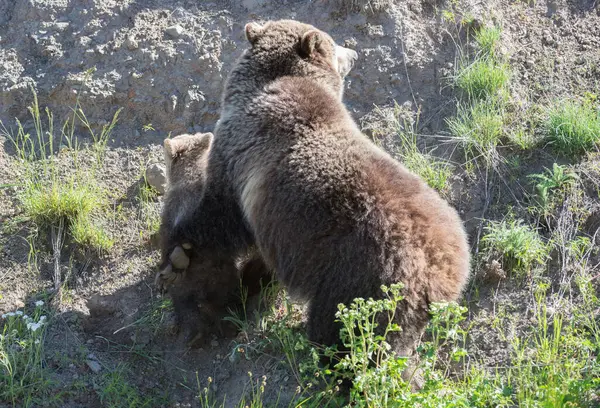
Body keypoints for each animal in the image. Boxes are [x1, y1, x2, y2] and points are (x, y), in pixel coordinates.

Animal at [157, 19, 472, 364]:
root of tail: (443, 277)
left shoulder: (240, 159)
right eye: (336, 46)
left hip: (354, 279)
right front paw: (251, 277)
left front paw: (180, 255)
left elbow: (219, 216)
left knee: (344, 336)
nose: (355, 53)